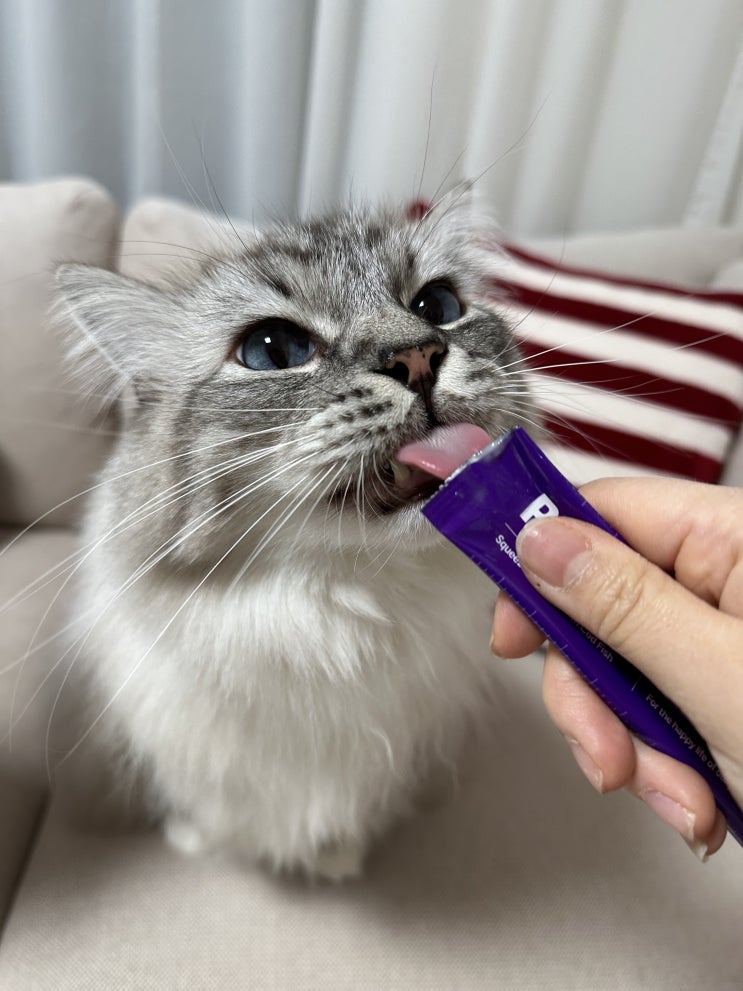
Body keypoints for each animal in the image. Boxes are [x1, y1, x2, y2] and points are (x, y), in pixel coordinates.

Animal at [56, 187, 535, 880]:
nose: (418, 355)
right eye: (273, 350)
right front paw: (195, 840)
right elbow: (205, 811)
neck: (333, 612)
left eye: (437, 306)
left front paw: (338, 859)